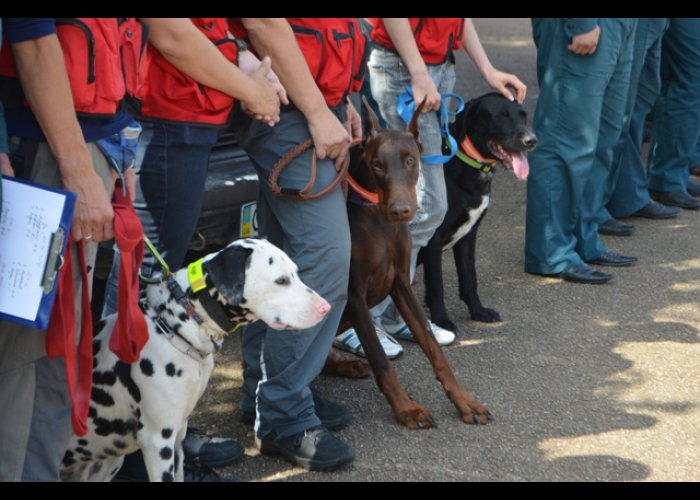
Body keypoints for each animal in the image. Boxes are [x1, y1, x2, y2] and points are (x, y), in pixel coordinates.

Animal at [59, 238, 328, 480]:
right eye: (281, 280)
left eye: (295, 273)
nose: (326, 308)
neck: (171, 326)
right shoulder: (158, 441)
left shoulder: (178, 435)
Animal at [418, 93, 540, 332]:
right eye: (502, 116)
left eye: (523, 115)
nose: (531, 140)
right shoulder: (433, 240)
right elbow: (437, 286)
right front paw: (442, 321)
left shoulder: (469, 235)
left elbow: (469, 278)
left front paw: (478, 311)